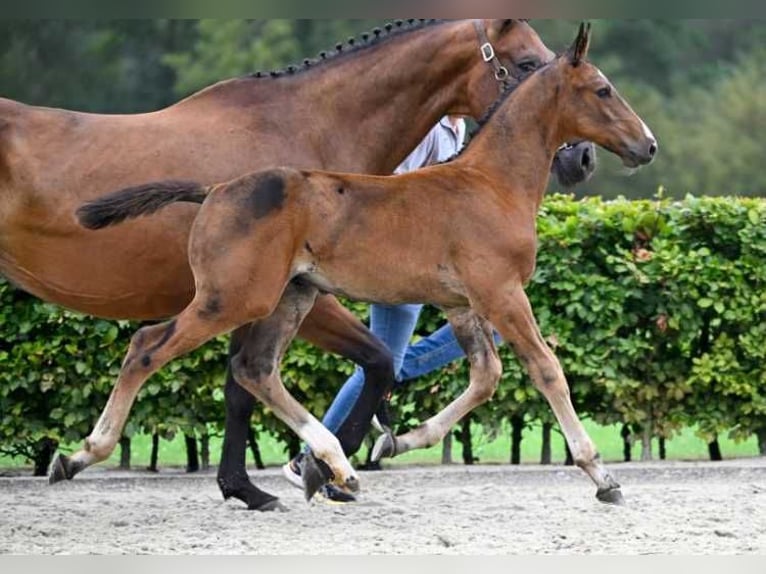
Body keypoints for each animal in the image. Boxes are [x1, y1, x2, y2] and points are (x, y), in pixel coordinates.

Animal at [1, 20, 592, 510]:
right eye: (526, 63)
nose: (580, 159)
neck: (306, 125)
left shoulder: (288, 294)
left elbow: (252, 384)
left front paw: (262, 483)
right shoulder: (294, 295)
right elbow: (368, 363)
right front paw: (315, 470)